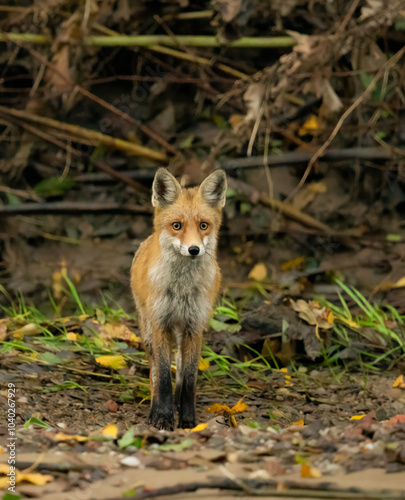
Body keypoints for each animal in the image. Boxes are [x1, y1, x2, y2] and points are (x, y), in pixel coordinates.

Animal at [133, 169, 227, 430]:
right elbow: (164, 377)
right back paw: (155, 409)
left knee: (181, 368)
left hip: (181, 333)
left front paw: (187, 419)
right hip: (148, 332)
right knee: (154, 373)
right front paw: (163, 417)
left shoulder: (195, 327)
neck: (181, 290)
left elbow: (189, 379)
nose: (194, 249)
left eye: (204, 225)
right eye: (177, 226)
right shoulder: (160, 323)